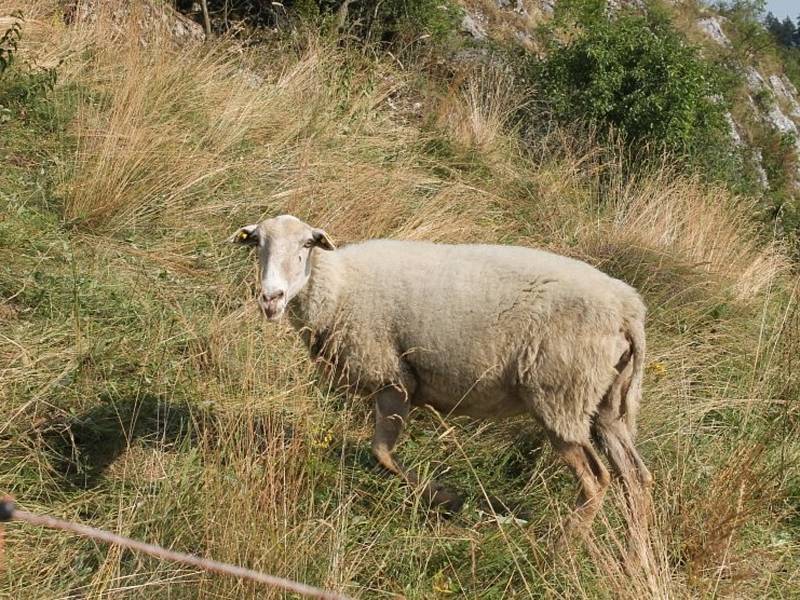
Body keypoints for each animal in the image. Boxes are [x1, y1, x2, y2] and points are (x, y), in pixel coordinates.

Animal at [228, 214, 652, 544]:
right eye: (258, 243)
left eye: (306, 244)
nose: (271, 298)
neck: (340, 286)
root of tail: (627, 310)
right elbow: (382, 452)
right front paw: (444, 497)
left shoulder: (393, 377)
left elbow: (381, 452)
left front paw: (444, 497)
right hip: (607, 403)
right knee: (635, 478)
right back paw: (636, 556)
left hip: (561, 395)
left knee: (597, 480)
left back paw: (561, 548)